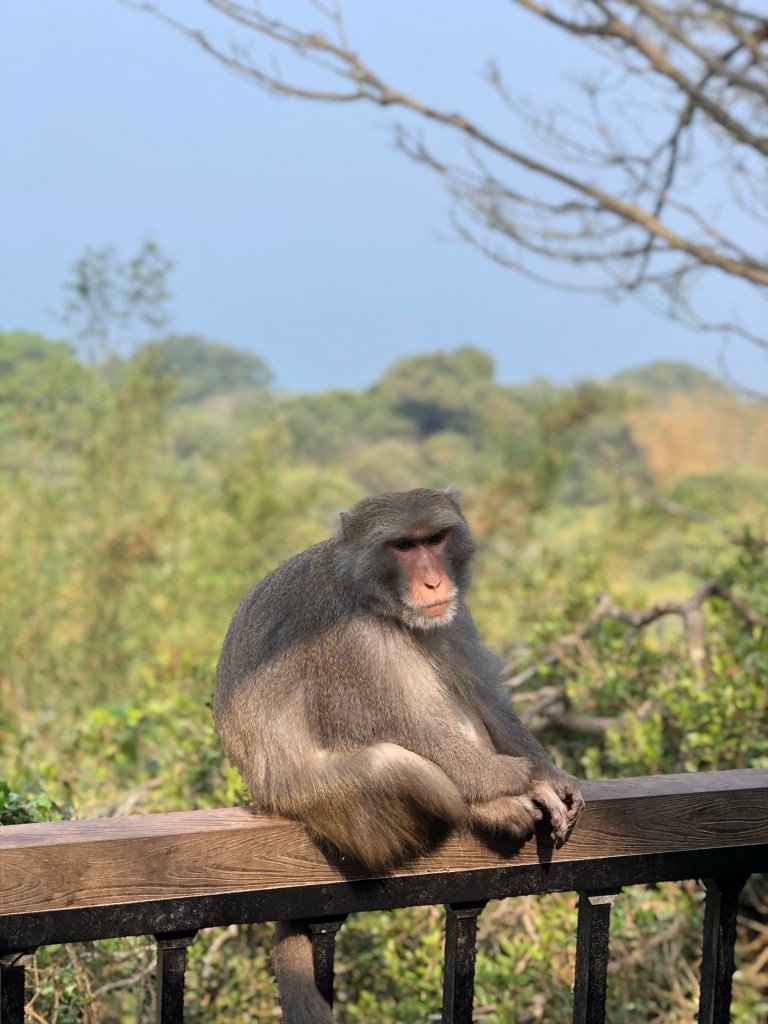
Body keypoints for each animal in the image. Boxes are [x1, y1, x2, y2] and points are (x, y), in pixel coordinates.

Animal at [217, 487, 581, 1024]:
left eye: (435, 538)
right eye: (404, 546)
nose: (433, 581)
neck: (372, 595)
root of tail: (266, 798)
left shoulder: (454, 614)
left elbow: (483, 695)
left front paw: (550, 771)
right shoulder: (350, 639)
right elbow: (403, 728)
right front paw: (531, 778)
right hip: (332, 804)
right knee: (397, 763)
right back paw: (487, 809)